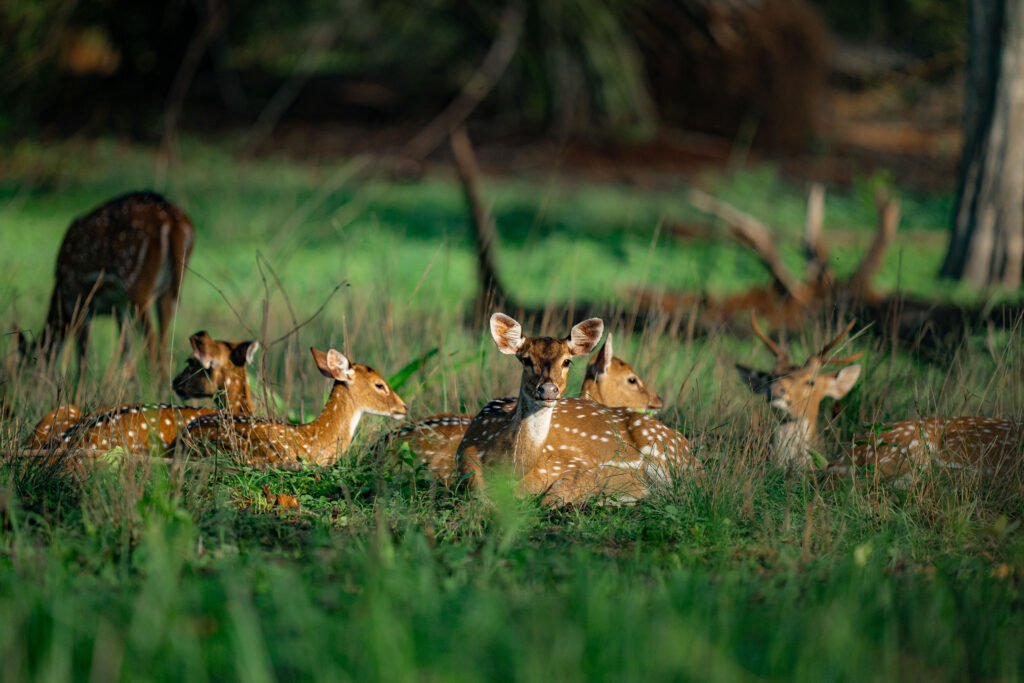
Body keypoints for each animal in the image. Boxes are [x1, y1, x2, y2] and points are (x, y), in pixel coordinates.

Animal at [17, 192, 193, 374]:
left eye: (22, 365)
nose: (25, 381)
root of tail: (174, 221)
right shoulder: (119, 311)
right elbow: (126, 355)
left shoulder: (79, 300)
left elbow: (83, 359)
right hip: (169, 291)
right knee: (164, 343)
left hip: (136, 284)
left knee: (151, 340)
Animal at [454, 315, 696, 507]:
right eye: (526, 360)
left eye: (567, 361)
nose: (548, 389)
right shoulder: (465, 461)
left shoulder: (575, 465)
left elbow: (551, 498)